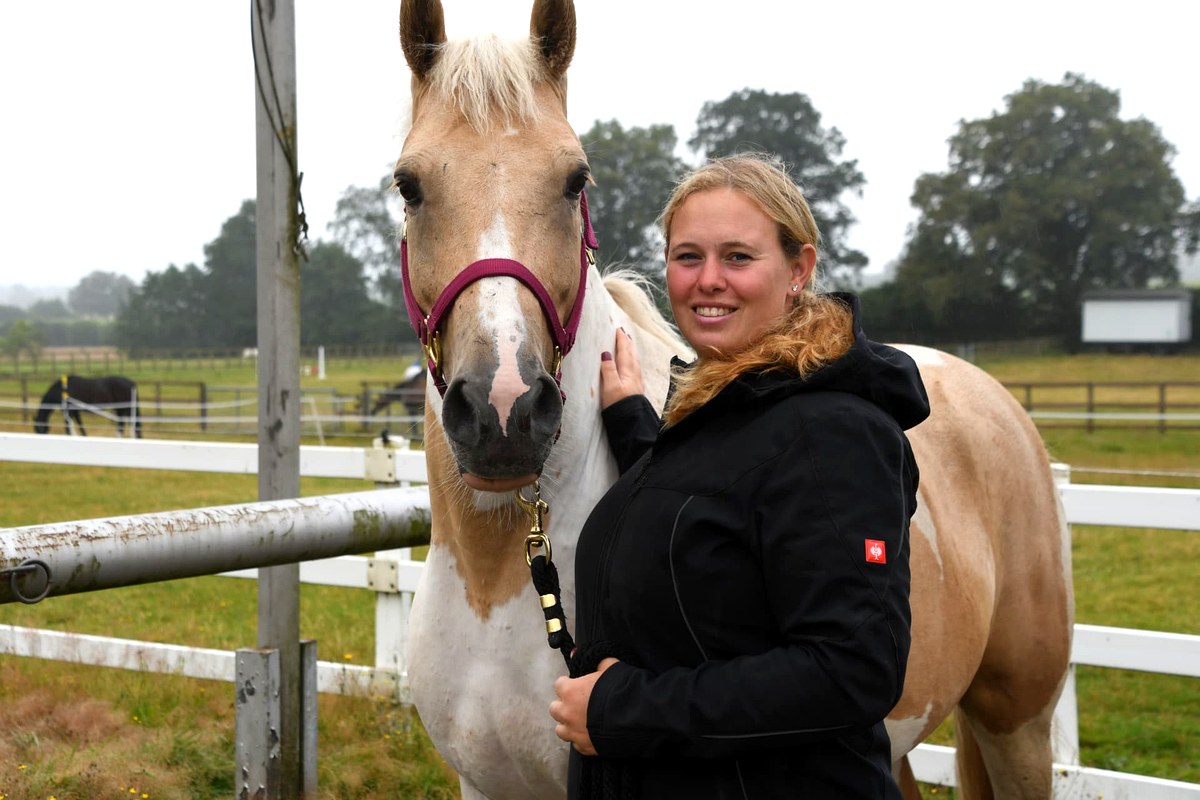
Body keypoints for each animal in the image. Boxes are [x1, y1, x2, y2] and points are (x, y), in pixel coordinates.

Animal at [396, 3, 1073, 799]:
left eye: (574, 178)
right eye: (409, 185)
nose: (504, 411)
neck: (502, 578)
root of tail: (996, 401)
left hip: (1017, 723)